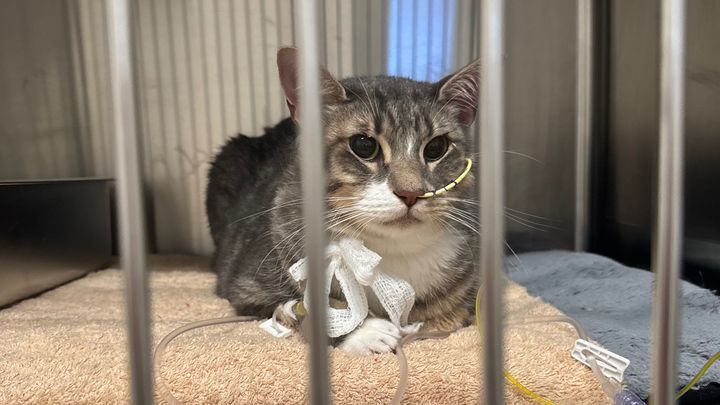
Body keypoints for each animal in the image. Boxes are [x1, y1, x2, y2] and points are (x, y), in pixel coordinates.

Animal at [206, 47, 481, 355]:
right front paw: (365, 331)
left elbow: (451, 316)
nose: (411, 192)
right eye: (363, 145)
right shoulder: (245, 284)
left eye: (436, 148)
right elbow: (298, 306)